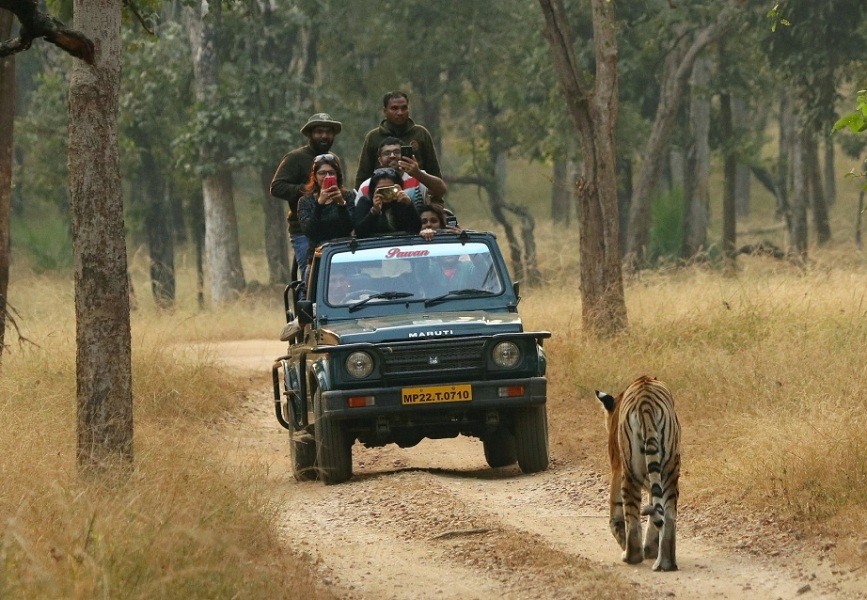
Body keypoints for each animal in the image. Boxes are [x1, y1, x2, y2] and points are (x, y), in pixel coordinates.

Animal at [596, 376, 680, 572]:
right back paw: (666, 563)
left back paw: (630, 556)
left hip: (630, 472)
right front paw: (651, 549)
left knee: (632, 517)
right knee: (668, 516)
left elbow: (616, 510)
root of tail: (645, 403)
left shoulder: (617, 465)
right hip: (670, 470)